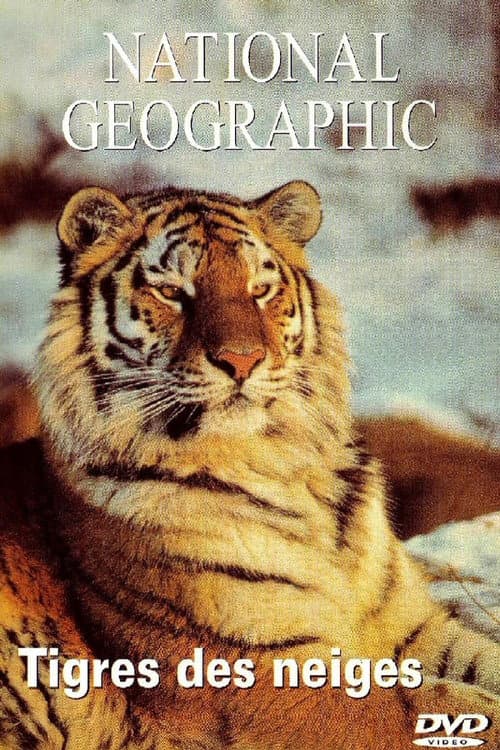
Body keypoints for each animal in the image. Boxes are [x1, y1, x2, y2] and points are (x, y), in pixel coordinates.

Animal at [0, 180, 498, 750]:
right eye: (172, 292)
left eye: (260, 289)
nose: (241, 361)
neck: (277, 463)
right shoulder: (258, 672)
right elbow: (448, 706)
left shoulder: (411, 627)